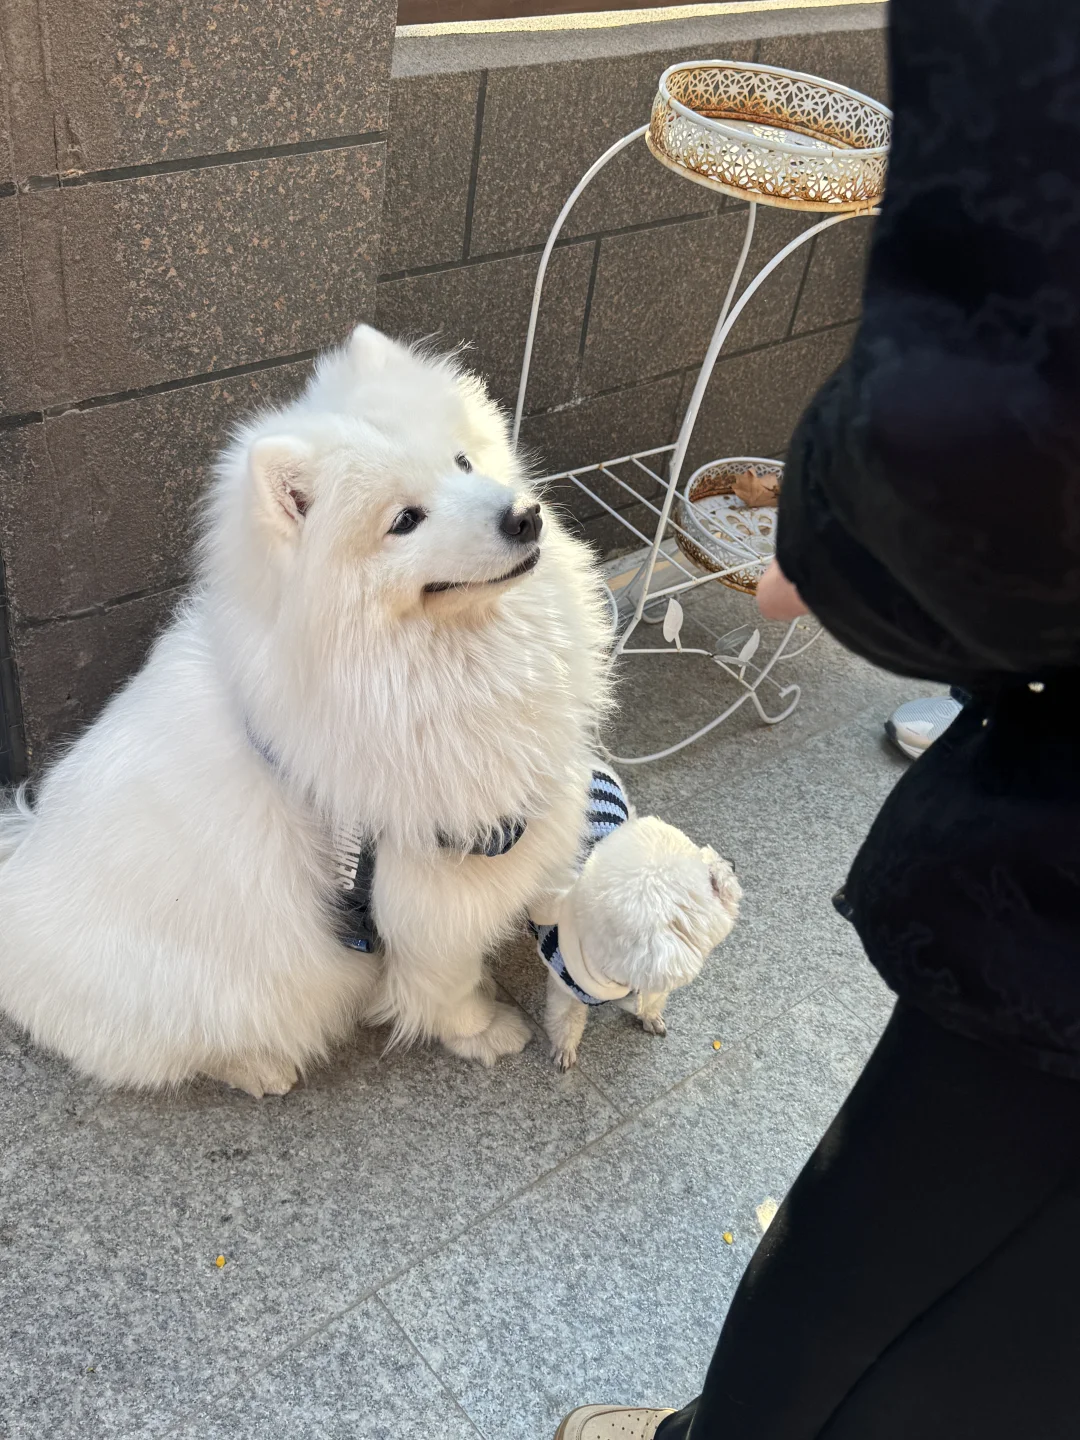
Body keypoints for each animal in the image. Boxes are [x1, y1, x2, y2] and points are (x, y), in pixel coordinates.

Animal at [0, 326, 612, 1094]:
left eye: (463, 461)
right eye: (404, 521)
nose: (524, 516)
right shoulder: (430, 891)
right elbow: (447, 983)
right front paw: (484, 1030)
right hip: (215, 989)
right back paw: (262, 1067)